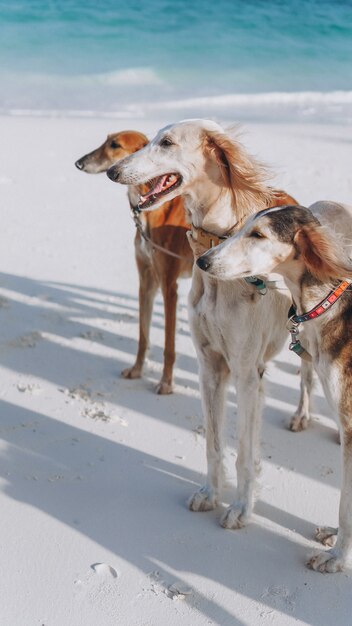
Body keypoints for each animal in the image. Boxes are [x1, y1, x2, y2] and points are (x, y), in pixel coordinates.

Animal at [75, 131, 194, 392]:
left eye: (115, 145)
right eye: (106, 139)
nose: (79, 163)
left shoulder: (169, 287)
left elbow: (169, 345)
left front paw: (166, 383)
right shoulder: (146, 283)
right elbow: (143, 335)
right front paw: (137, 370)